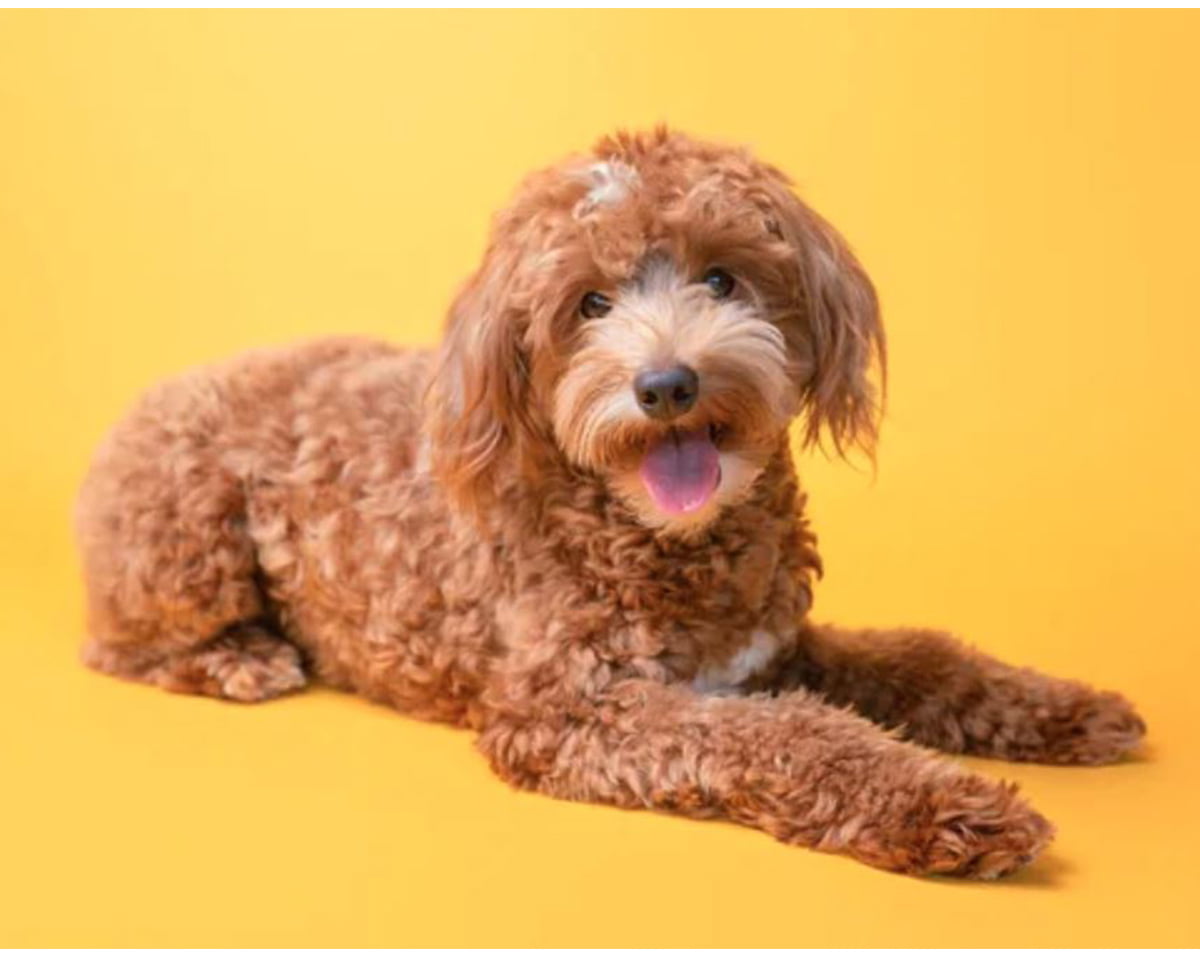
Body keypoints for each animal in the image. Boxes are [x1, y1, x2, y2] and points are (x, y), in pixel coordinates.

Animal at [72, 128, 1142, 878]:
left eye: (722, 277)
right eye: (589, 304)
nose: (667, 384)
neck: (667, 537)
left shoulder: (776, 649)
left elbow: (927, 660)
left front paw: (1067, 709)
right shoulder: (569, 710)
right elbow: (794, 733)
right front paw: (951, 808)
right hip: (186, 537)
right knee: (121, 647)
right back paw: (242, 659)